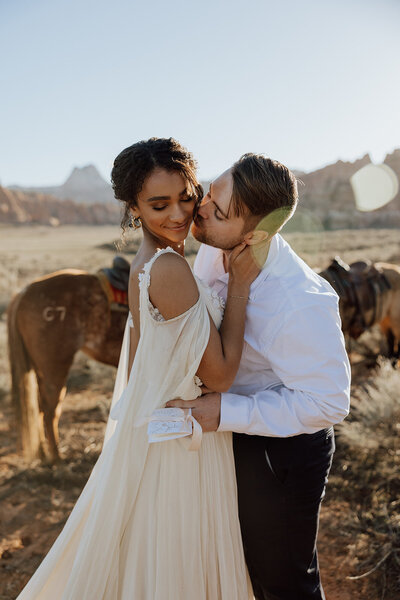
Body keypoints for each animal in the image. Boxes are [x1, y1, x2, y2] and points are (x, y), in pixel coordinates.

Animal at [7, 268, 128, 464]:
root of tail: (24, 292)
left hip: (40, 369)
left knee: (40, 409)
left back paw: (43, 453)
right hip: (55, 368)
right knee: (50, 410)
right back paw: (56, 457)